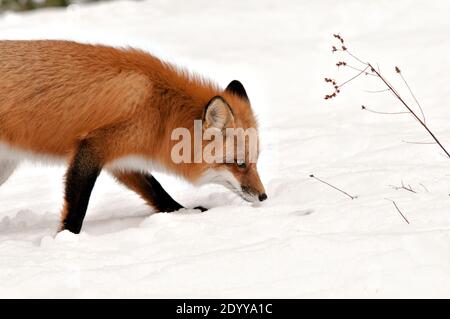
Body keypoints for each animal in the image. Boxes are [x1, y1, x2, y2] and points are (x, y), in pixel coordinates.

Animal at [0, 40, 268, 235]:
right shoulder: (93, 147)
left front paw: (185, 212)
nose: (264, 196)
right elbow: (77, 207)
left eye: (255, 162)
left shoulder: (122, 159)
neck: (160, 109)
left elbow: (156, 191)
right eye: (240, 164)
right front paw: (66, 239)